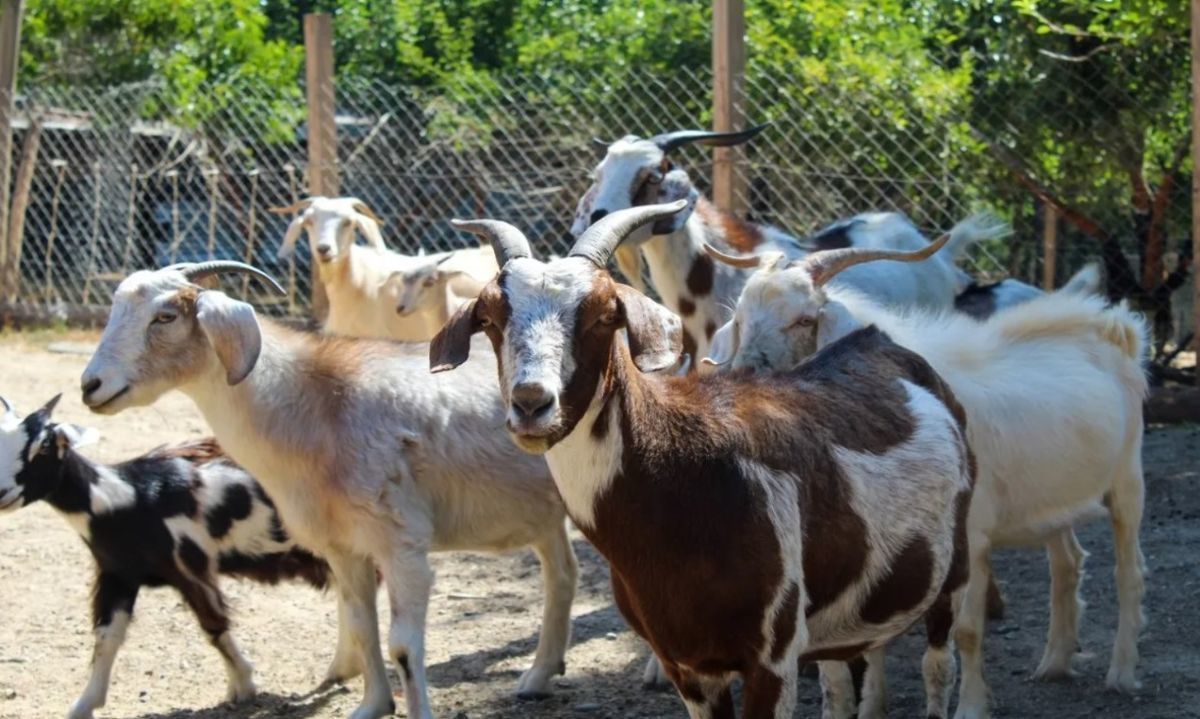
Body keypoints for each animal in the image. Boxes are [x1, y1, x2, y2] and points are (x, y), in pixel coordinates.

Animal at [432, 202, 974, 719]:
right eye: (489, 318)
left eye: (605, 315)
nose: (531, 403)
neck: (679, 473)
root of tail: (880, 339)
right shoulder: (687, 666)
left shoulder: (773, 657)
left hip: (954, 571)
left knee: (939, 665)